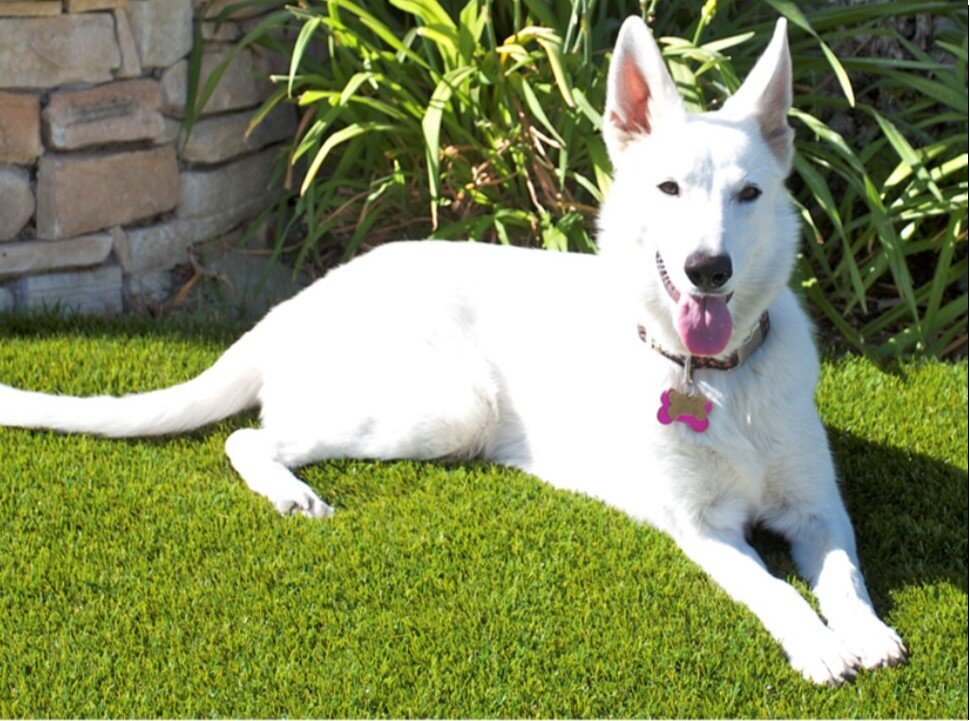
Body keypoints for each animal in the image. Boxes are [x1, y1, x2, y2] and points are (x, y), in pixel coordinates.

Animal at [1, 15, 908, 680]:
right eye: (669, 188)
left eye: (749, 193)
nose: (708, 269)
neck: (719, 380)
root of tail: (297, 301)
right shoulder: (704, 527)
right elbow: (774, 588)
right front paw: (818, 642)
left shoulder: (818, 508)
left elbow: (843, 574)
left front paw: (862, 629)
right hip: (447, 407)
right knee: (249, 436)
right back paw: (289, 490)